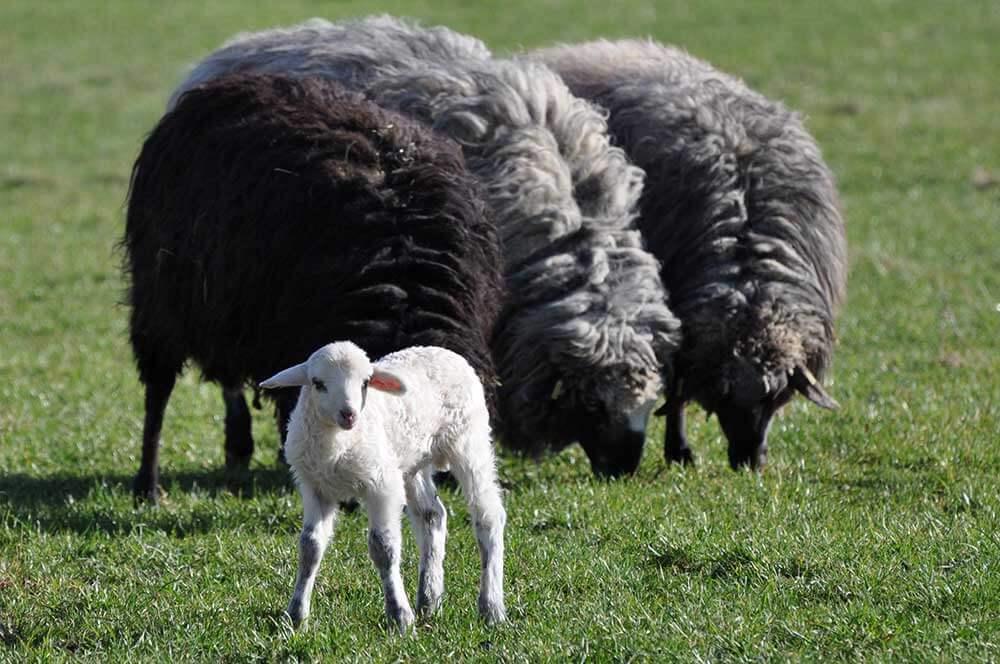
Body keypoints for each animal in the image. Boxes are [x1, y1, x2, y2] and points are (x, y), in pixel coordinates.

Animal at [122, 72, 504, 500]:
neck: (402, 276)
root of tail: (227, 83)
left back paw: (237, 448)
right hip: (161, 299)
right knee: (158, 391)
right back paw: (148, 485)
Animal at [174, 16, 688, 478]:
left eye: (651, 400)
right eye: (593, 401)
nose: (623, 469)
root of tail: (239, 46)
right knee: (231, 378)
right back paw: (238, 445)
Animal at [262, 342, 508, 632]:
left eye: (365, 382)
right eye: (317, 383)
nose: (349, 414)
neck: (338, 445)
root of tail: (442, 350)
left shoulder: (382, 486)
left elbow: (383, 547)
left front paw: (399, 615)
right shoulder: (315, 488)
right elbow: (309, 548)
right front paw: (296, 615)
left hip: (469, 440)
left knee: (488, 516)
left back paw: (491, 608)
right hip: (410, 462)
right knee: (432, 514)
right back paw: (429, 599)